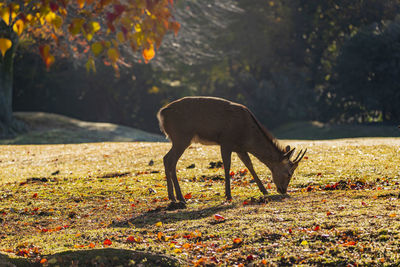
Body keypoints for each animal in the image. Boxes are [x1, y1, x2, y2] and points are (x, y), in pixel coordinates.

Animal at [157, 96, 306, 207]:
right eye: (289, 173)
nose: (283, 190)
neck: (247, 135)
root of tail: (161, 114)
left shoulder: (240, 148)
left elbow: (249, 165)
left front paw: (264, 190)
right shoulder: (226, 141)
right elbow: (227, 166)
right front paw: (228, 195)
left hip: (177, 139)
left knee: (166, 159)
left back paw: (172, 197)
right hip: (181, 137)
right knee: (170, 160)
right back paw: (180, 198)